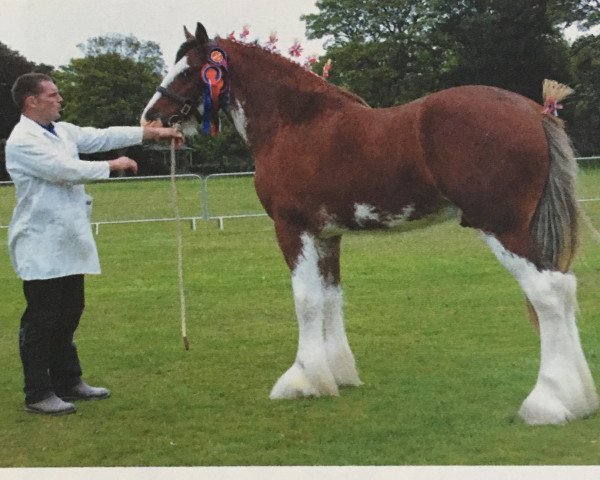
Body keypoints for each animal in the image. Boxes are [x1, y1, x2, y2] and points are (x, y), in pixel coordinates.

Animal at [139, 21, 596, 424]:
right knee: (564, 289)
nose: (152, 119)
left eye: (188, 70)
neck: (295, 123)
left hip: (503, 228)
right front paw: (337, 375)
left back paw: (547, 403)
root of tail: (535, 112)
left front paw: (301, 380)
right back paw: (580, 400)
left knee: (548, 294)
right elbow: (330, 299)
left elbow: (305, 301)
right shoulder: (327, 236)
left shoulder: (291, 229)